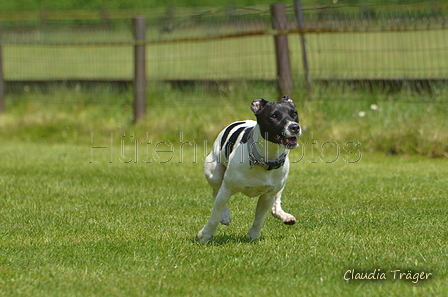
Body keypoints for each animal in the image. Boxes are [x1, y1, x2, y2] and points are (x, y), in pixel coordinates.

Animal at [199, 96, 300, 242]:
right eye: (274, 115)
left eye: (294, 113)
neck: (265, 158)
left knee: (276, 203)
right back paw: (225, 216)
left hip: (280, 185)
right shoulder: (227, 189)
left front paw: (254, 234)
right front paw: (206, 234)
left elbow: (260, 218)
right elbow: (215, 215)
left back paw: (283, 215)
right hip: (214, 173)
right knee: (216, 191)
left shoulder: (267, 196)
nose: (294, 127)